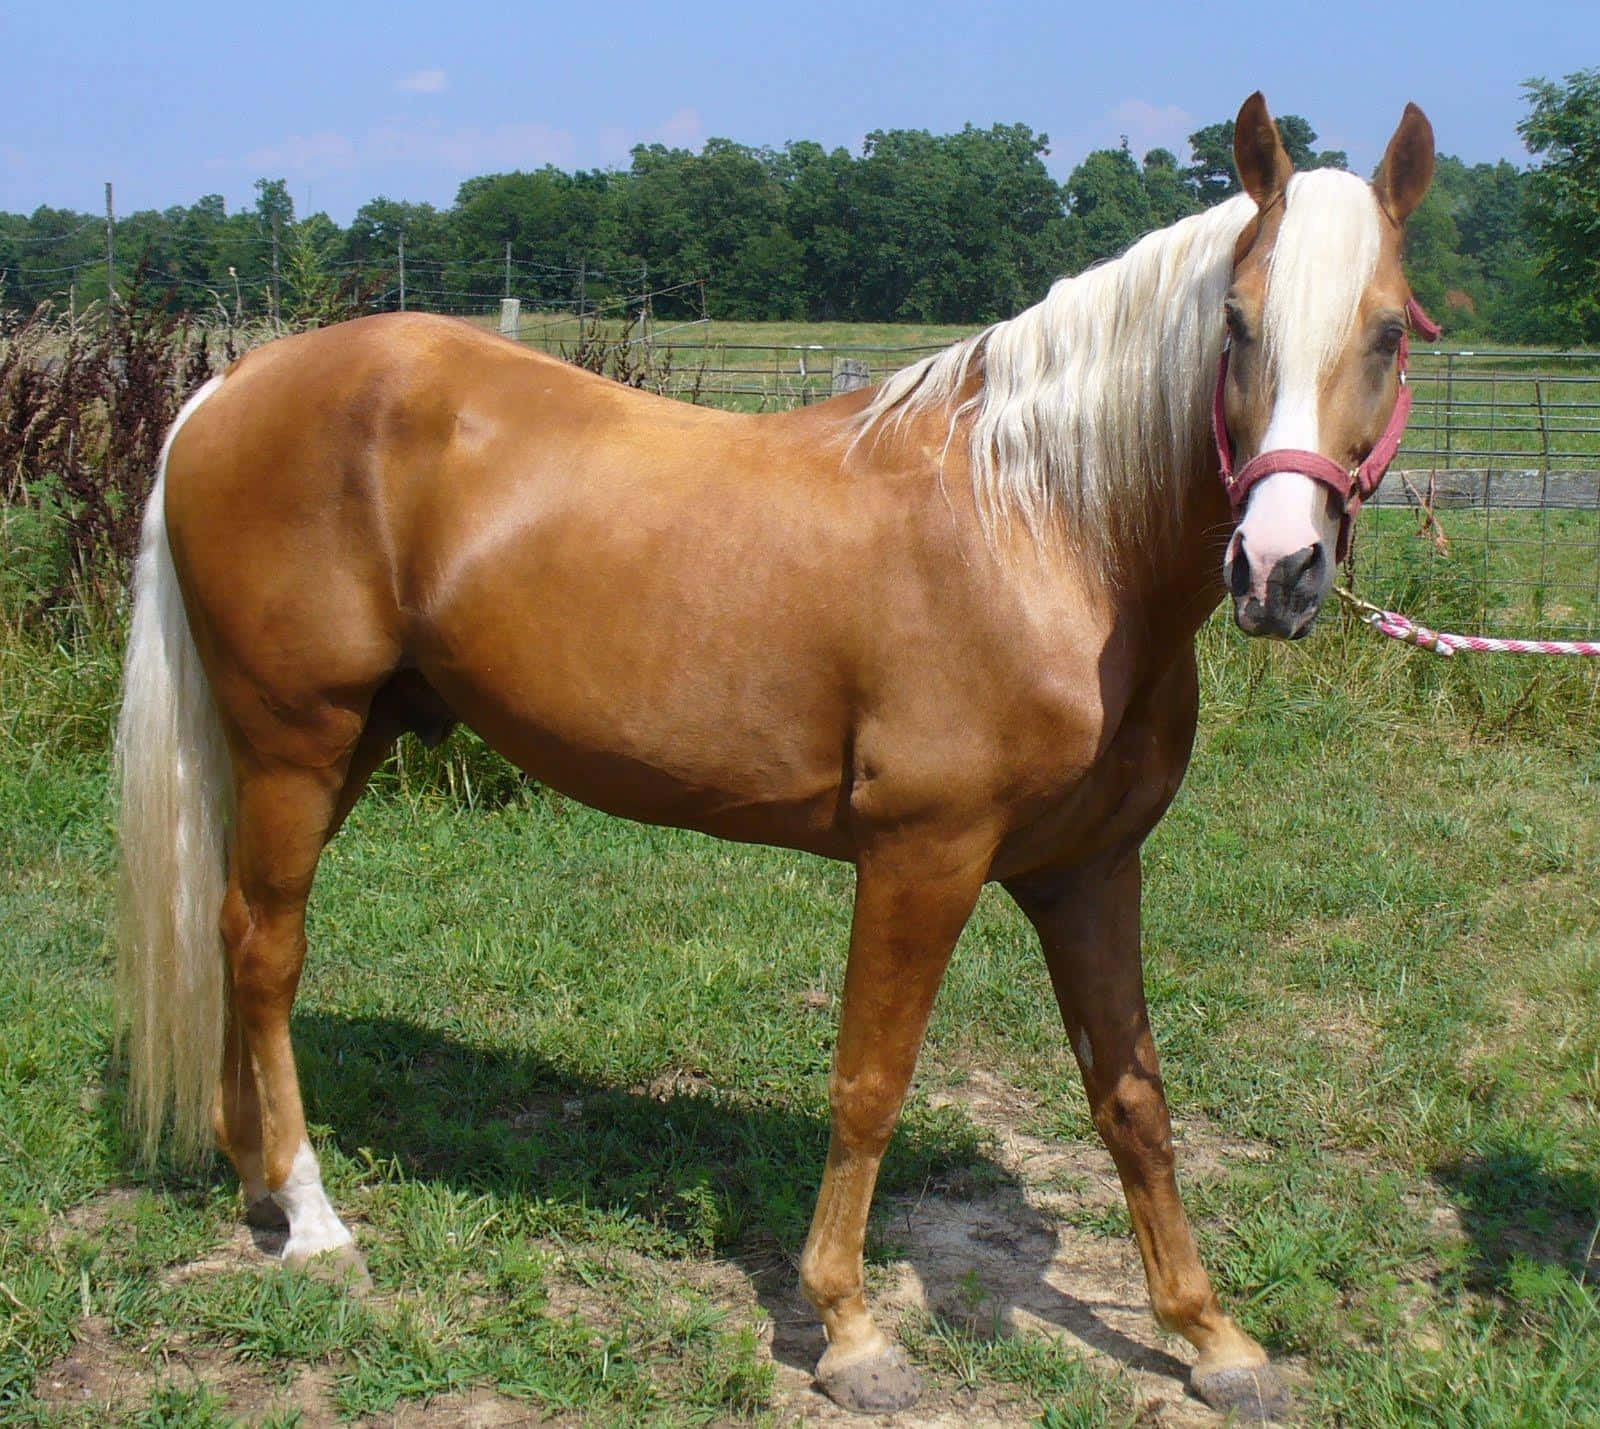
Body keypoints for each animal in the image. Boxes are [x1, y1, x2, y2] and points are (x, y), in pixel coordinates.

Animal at [116, 94, 1440, 1420]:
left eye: (1388, 333)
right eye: (1236, 322)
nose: (1276, 571)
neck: (1041, 532)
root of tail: (231, 387)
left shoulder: (1090, 871)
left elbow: (1132, 1098)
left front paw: (1211, 1336)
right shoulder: (922, 858)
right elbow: (869, 1084)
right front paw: (849, 1329)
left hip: (340, 746)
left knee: (234, 927)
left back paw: (256, 1181)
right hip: (298, 741)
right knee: (269, 950)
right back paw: (314, 1220)